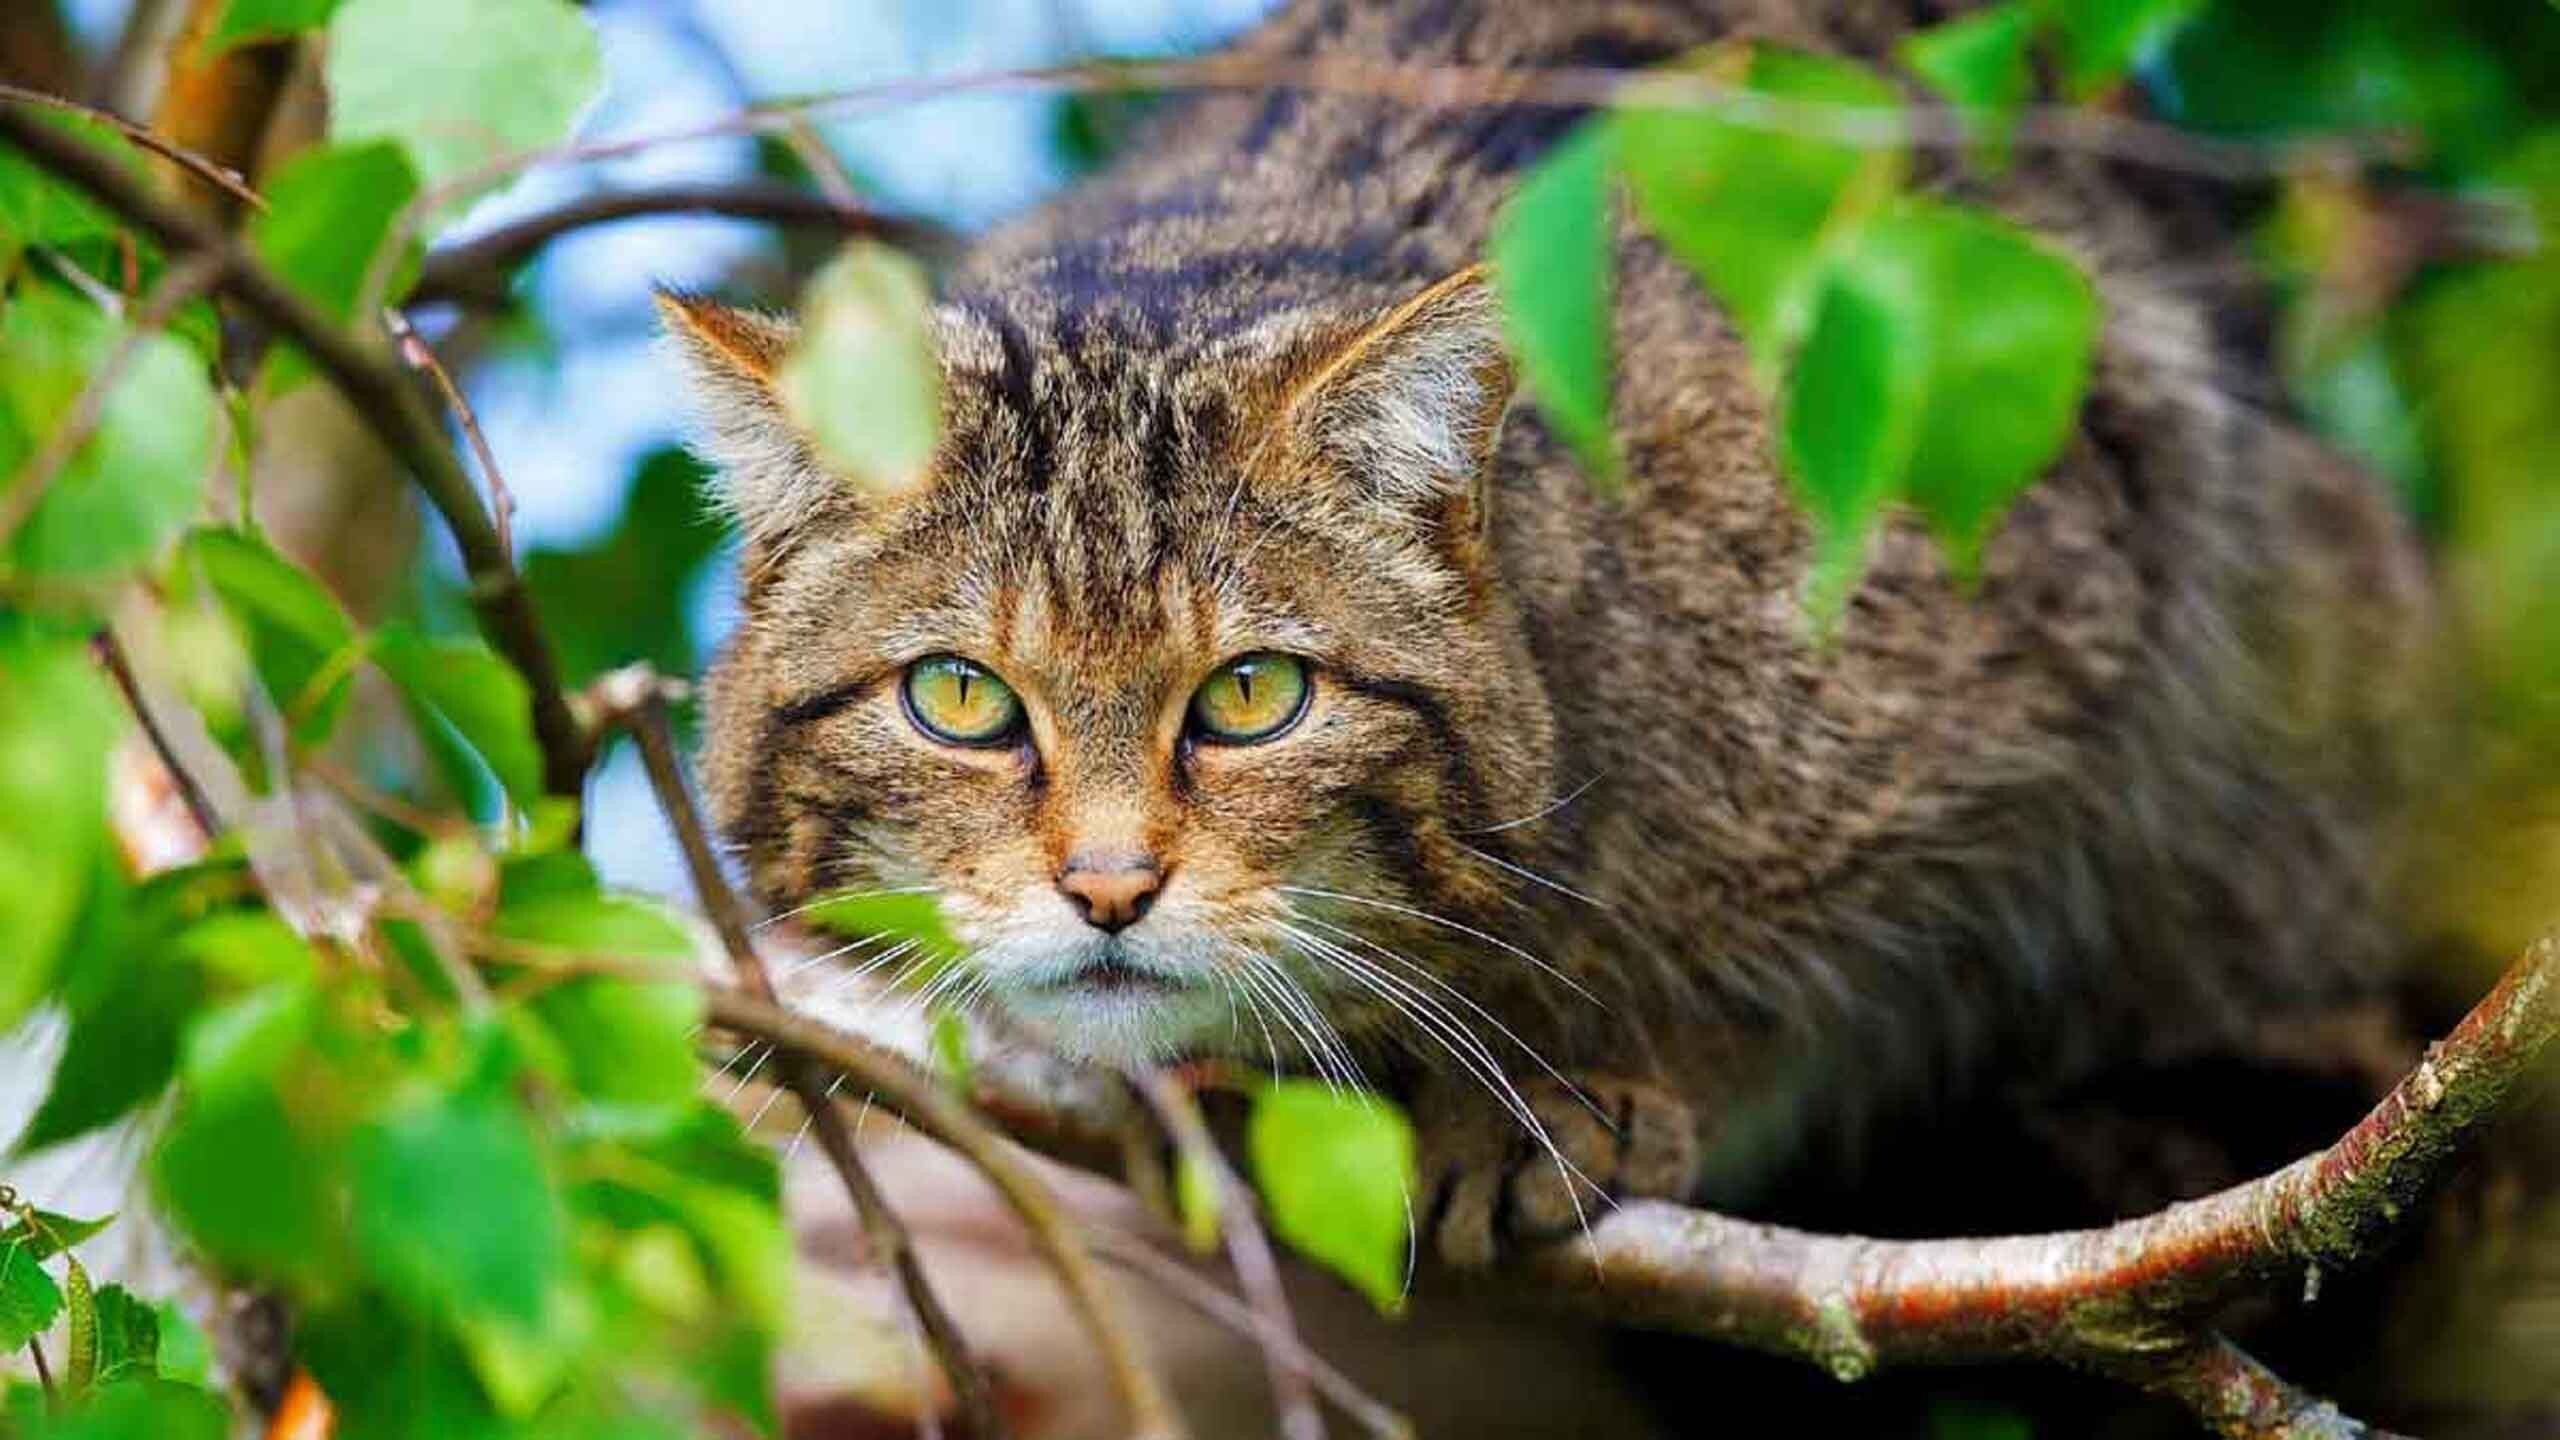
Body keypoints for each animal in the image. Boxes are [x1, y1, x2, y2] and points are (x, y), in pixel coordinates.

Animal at [650, 0, 2426, 1260]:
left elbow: (1829, 968)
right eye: (959, 697)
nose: (1106, 889)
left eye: (1253, 696)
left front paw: (1572, 1078)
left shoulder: (2054, 616)